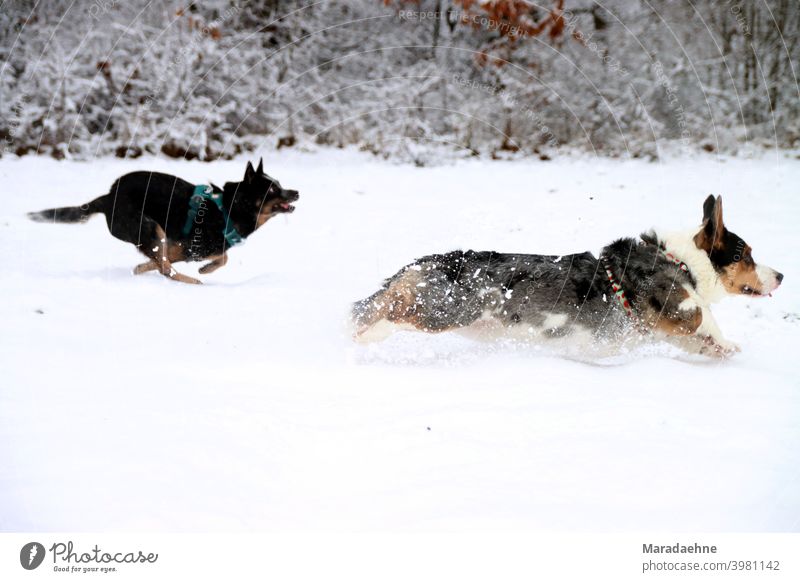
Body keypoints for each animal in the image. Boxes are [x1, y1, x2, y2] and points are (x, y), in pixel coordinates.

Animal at [28, 160, 298, 286]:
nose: (296, 192)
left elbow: (219, 257)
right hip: (149, 226)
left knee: (163, 264)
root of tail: (108, 197)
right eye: (273, 189)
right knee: (167, 270)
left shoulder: (181, 249)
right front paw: (204, 271)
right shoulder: (190, 247)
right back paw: (194, 282)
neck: (229, 209)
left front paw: (141, 268)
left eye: (280, 184)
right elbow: (222, 257)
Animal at [354, 196, 784, 358]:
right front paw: (729, 343)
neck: (681, 260)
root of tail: (424, 262)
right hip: (443, 312)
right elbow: (704, 316)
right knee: (386, 312)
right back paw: (361, 336)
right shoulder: (678, 308)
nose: (781, 275)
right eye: (746, 255)